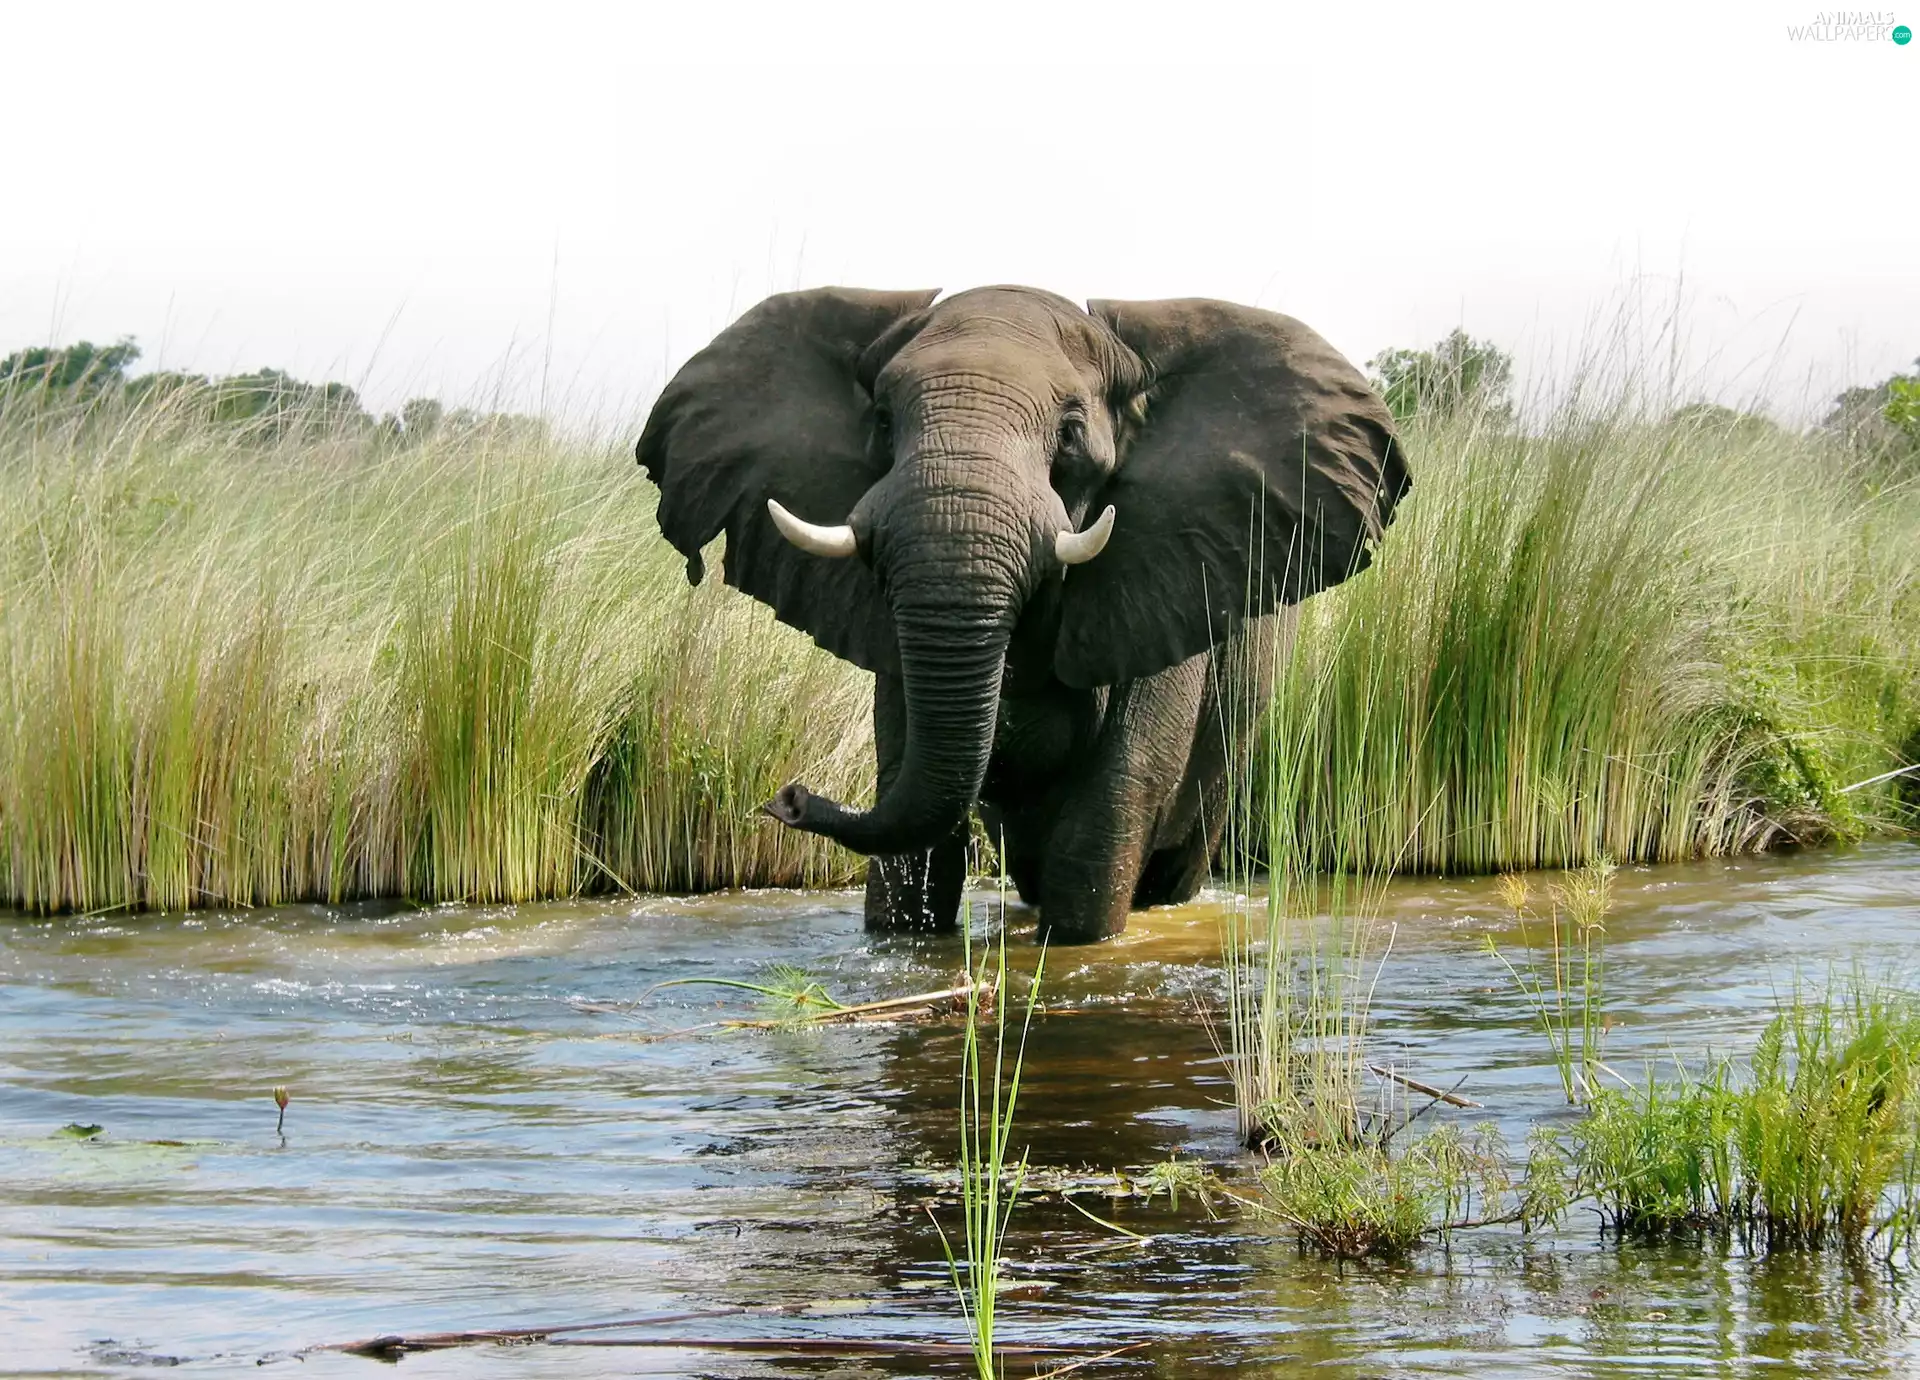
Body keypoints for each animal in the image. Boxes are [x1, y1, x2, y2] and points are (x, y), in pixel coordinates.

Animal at [636, 286, 1409, 942]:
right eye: (882, 421)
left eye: (1069, 434)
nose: (788, 797)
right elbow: (917, 822)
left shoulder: (1171, 575)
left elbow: (1104, 817)